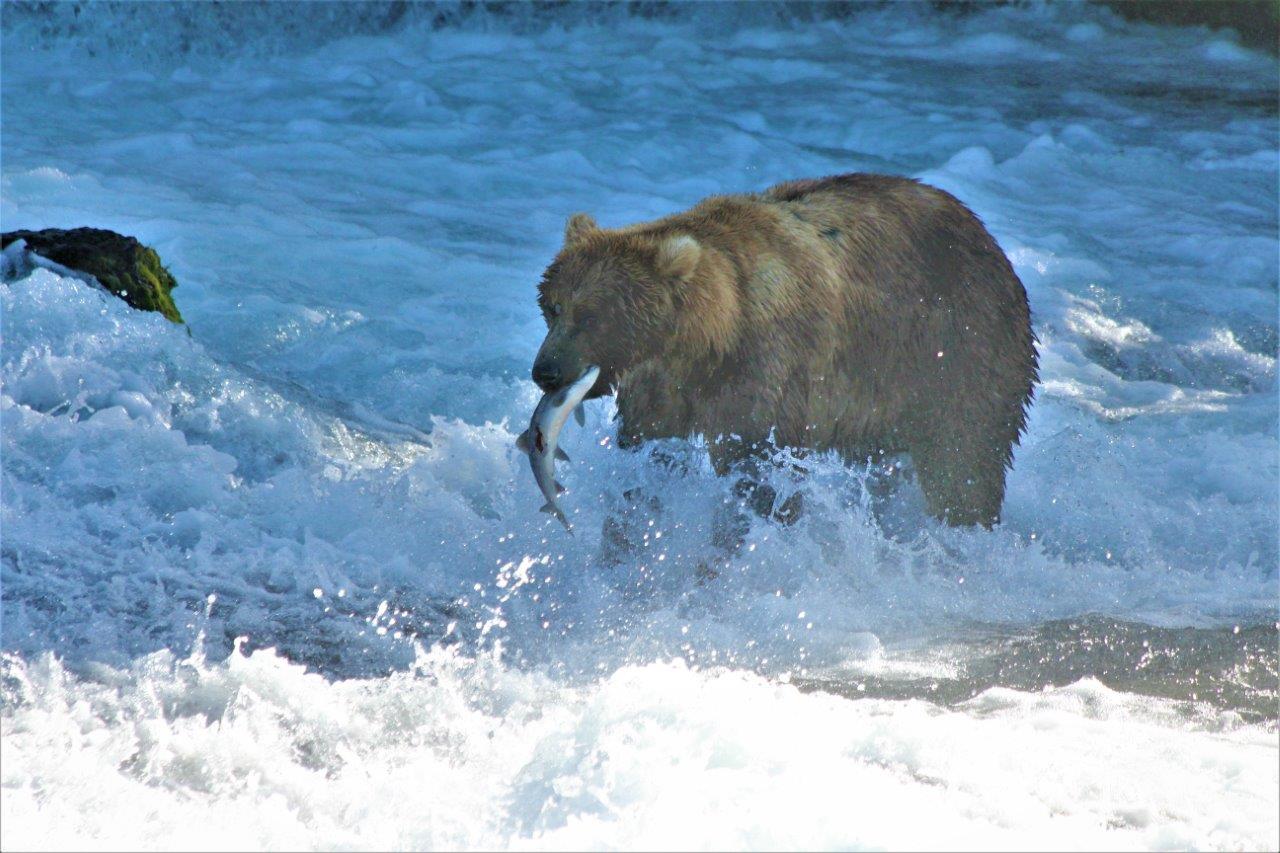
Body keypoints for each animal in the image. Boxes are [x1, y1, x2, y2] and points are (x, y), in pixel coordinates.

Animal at [529, 172, 1039, 525]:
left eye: (592, 316)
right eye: (552, 307)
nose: (545, 372)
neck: (709, 340)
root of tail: (992, 243)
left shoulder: (768, 371)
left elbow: (758, 471)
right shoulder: (659, 391)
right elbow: (647, 465)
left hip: (958, 351)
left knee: (966, 461)